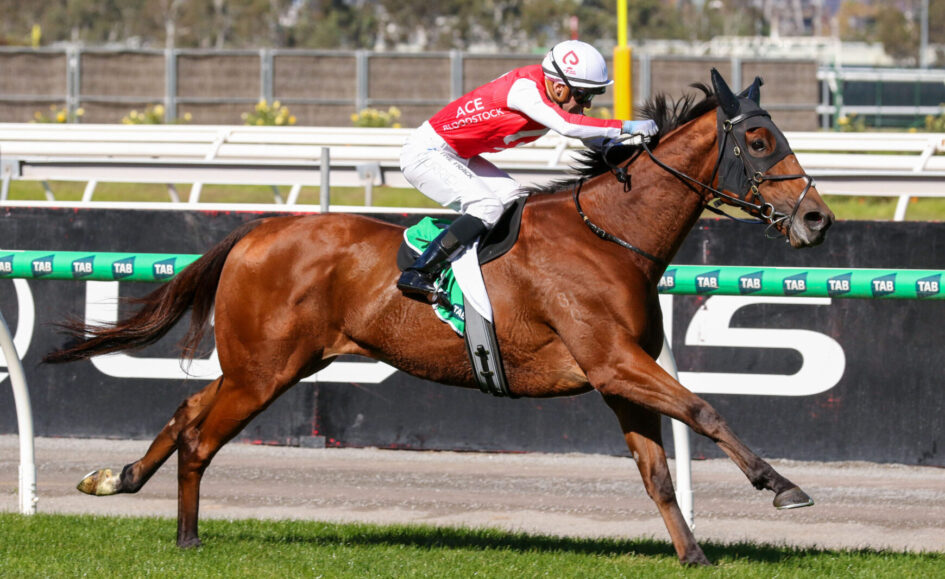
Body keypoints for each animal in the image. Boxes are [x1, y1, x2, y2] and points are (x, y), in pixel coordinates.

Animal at [44, 70, 833, 566]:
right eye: (758, 141)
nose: (817, 219)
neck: (608, 235)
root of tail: (255, 232)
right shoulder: (614, 362)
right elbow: (704, 409)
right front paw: (782, 487)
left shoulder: (618, 377)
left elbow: (657, 472)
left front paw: (693, 552)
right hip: (263, 369)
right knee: (201, 437)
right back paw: (186, 538)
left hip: (267, 363)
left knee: (186, 409)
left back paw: (116, 478)